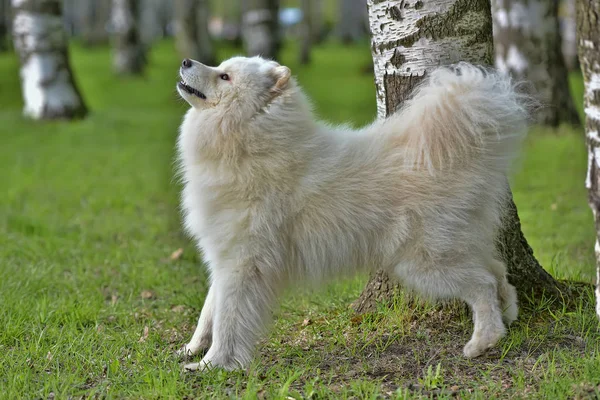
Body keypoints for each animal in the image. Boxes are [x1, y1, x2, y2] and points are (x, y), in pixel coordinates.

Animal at [176, 54, 528, 370]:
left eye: (225, 76)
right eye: (221, 67)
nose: (185, 61)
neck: (249, 143)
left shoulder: (241, 263)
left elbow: (228, 320)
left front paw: (212, 364)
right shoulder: (223, 259)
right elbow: (209, 312)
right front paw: (191, 349)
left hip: (424, 263)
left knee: (482, 283)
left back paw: (483, 341)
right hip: (452, 248)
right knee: (498, 271)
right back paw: (508, 314)